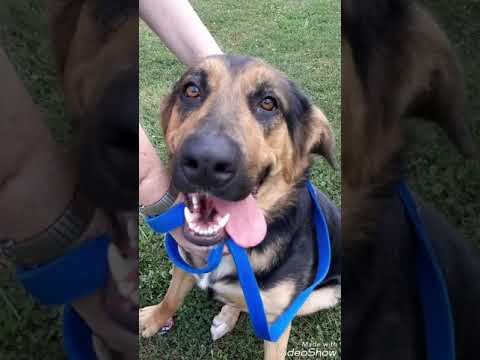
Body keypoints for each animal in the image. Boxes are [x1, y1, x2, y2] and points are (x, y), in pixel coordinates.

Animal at [139, 54, 342, 360]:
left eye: (269, 103)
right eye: (191, 90)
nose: (206, 162)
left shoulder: (278, 322)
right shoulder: (185, 262)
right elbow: (171, 298)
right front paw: (154, 318)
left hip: (321, 296)